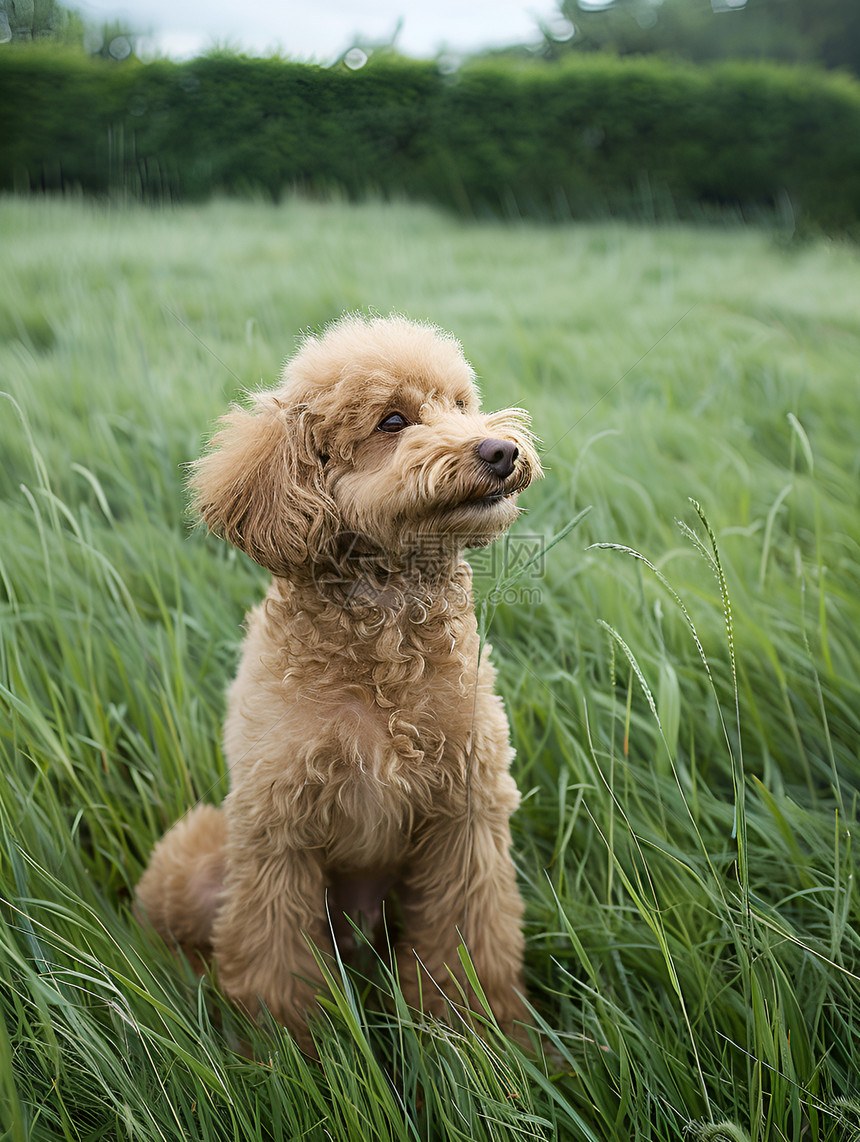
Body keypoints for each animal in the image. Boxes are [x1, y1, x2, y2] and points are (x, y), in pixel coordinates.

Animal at [134, 312, 539, 1046]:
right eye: (392, 421)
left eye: (461, 404)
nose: (500, 450)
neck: (383, 640)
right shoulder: (277, 830)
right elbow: (271, 960)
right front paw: (284, 1052)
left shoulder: (466, 816)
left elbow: (472, 941)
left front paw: (488, 1040)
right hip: (197, 852)